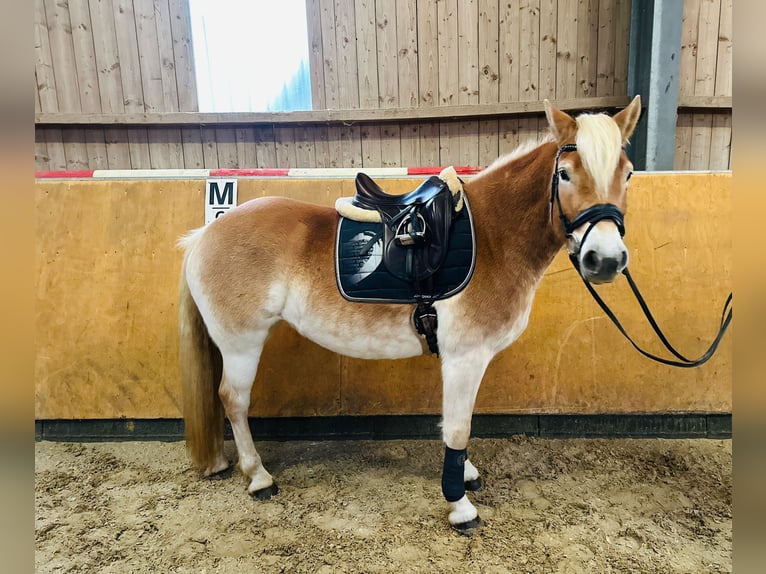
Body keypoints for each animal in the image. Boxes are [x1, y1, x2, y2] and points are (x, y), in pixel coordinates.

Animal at [177, 98, 644, 536]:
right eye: (564, 174)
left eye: (628, 174)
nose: (604, 260)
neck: (493, 238)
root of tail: (203, 235)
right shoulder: (465, 358)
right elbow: (457, 429)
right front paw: (460, 507)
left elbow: (458, 424)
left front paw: (465, 475)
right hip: (242, 343)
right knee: (233, 400)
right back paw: (258, 477)